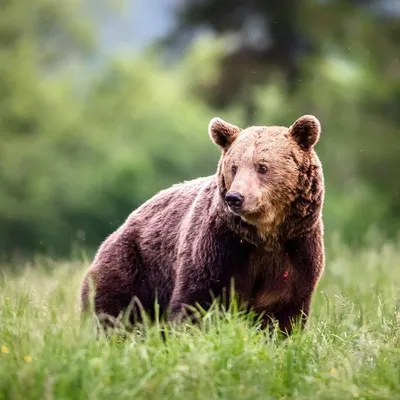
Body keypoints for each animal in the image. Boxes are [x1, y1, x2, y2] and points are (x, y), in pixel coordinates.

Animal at [81, 115, 324, 334]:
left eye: (262, 166)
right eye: (234, 167)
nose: (235, 197)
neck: (264, 236)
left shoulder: (295, 253)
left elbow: (282, 313)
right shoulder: (218, 248)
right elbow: (197, 301)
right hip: (134, 266)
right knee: (114, 311)